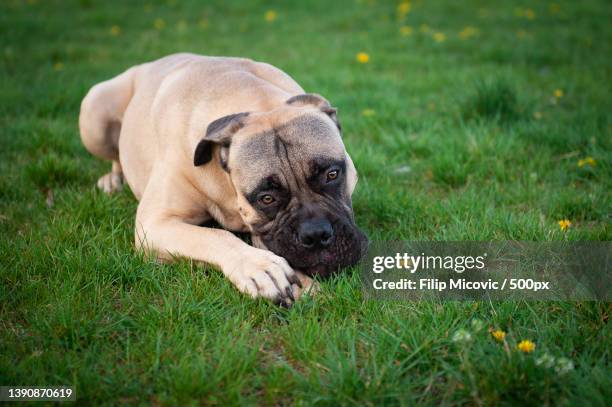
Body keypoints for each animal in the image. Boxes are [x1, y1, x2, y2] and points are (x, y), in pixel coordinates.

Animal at [81, 53, 368, 306]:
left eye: (332, 174)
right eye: (266, 198)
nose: (316, 234)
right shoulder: (154, 225)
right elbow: (215, 236)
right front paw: (260, 267)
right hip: (93, 113)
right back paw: (112, 179)